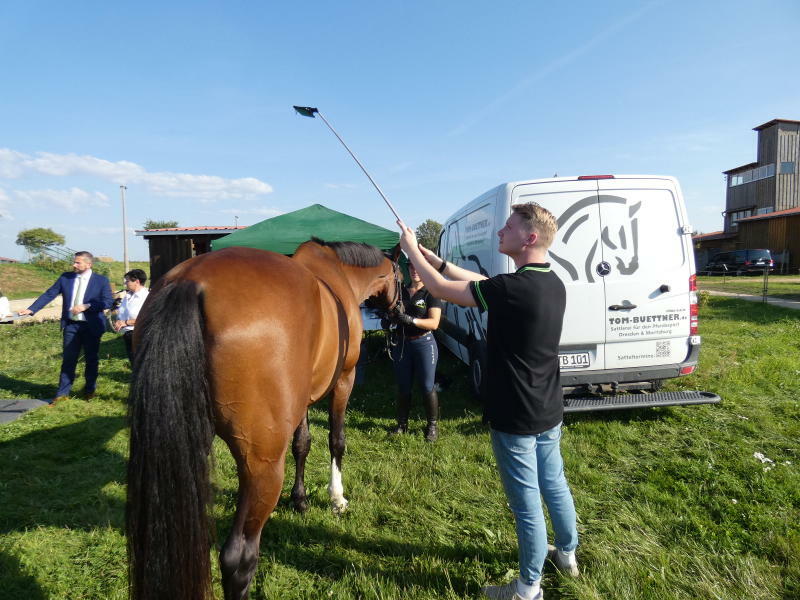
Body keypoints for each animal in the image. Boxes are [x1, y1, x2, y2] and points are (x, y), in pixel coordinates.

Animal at [128, 239, 404, 600]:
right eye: (402, 276)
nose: (399, 312)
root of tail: (189, 282)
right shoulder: (345, 379)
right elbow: (336, 441)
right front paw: (337, 498)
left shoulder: (303, 397)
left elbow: (303, 443)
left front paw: (300, 499)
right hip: (262, 465)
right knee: (238, 558)